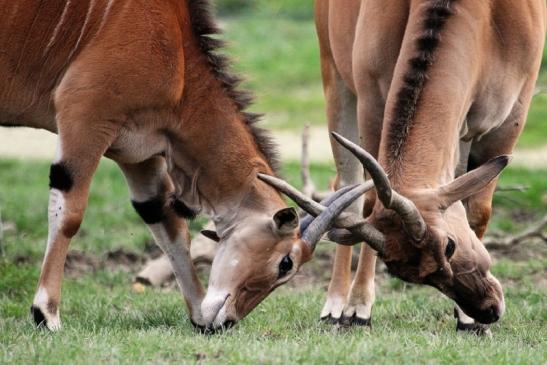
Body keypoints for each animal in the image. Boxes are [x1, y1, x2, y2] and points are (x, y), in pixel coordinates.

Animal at [0, 0, 368, 330]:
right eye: (286, 263)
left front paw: (198, 314)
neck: (176, 50)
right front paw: (46, 314)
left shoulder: (137, 153)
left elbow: (170, 226)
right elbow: (70, 214)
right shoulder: (85, 119)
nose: (225, 323)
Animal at [260, 0, 544, 332]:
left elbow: (478, 210)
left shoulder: (509, 122)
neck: (481, 17)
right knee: (346, 188)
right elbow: (370, 202)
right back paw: (336, 305)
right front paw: (358, 309)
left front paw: (468, 321)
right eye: (421, 272)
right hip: (335, 77)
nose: (488, 310)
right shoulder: (373, 102)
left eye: (449, 246)